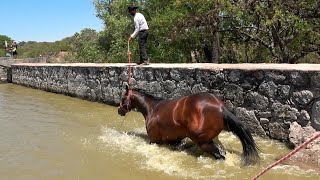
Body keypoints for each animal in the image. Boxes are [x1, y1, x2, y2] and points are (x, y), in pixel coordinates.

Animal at [117, 85, 260, 165]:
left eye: (123, 98)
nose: (119, 110)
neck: (152, 108)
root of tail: (220, 107)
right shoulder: (174, 140)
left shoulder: (153, 140)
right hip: (213, 139)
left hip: (204, 142)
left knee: (220, 156)